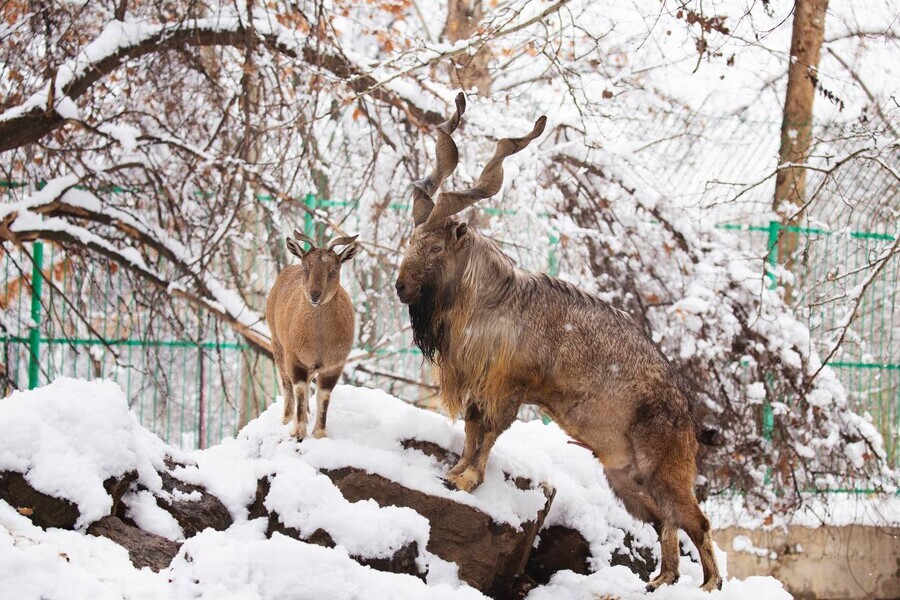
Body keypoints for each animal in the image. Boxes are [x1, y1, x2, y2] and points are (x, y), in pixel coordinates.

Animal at [394, 96, 724, 592]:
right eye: (411, 238)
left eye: (435, 248)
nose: (401, 288)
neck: (495, 301)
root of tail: (691, 418)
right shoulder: (480, 387)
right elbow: (472, 428)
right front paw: (453, 473)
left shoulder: (509, 389)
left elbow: (489, 432)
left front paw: (468, 481)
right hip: (627, 479)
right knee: (666, 523)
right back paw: (659, 582)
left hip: (666, 471)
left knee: (697, 522)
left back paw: (706, 585)